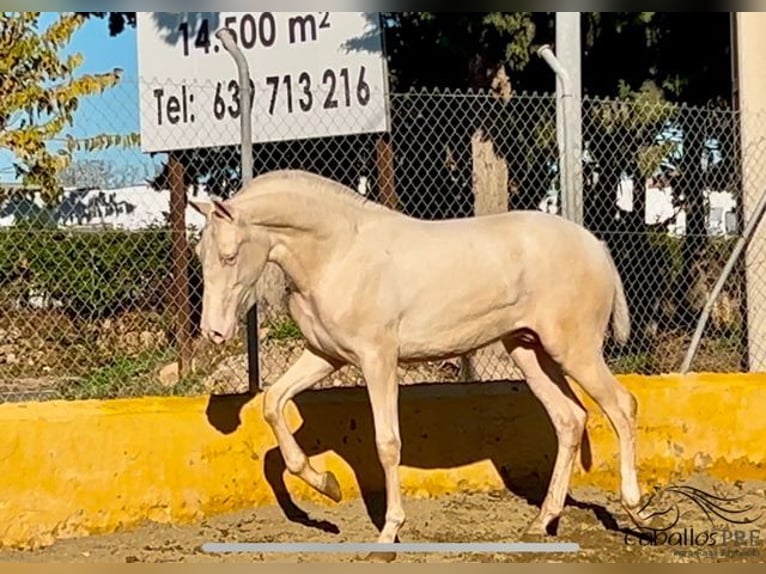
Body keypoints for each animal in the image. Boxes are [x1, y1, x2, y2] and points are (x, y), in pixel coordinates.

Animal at [190, 168, 648, 564]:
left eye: (229, 256)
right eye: (200, 254)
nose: (214, 332)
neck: (339, 254)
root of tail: (596, 246)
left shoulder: (378, 359)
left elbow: (387, 444)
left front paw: (387, 537)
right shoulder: (325, 355)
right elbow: (272, 403)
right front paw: (328, 486)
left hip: (575, 351)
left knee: (621, 406)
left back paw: (636, 511)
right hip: (528, 351)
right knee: (570, 419)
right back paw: (541, 522)